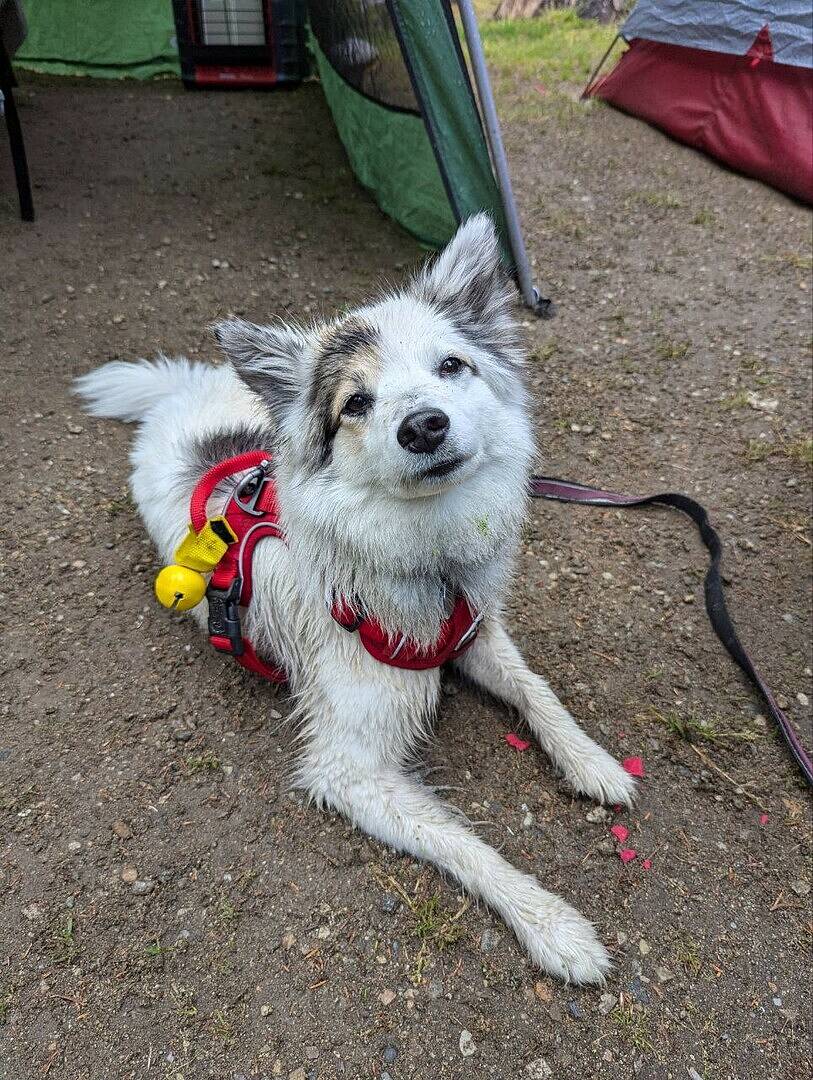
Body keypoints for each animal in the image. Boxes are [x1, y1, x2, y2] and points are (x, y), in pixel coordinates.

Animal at [76, 214, 634, 984]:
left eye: (451, 366)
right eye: (356, 404)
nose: (423, 425)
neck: (427, 553)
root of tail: (179, 397)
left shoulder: (475, 633)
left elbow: (536, 690)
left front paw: (593, 762)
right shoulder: (347, 768)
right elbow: (467, 845)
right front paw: (556, 927)